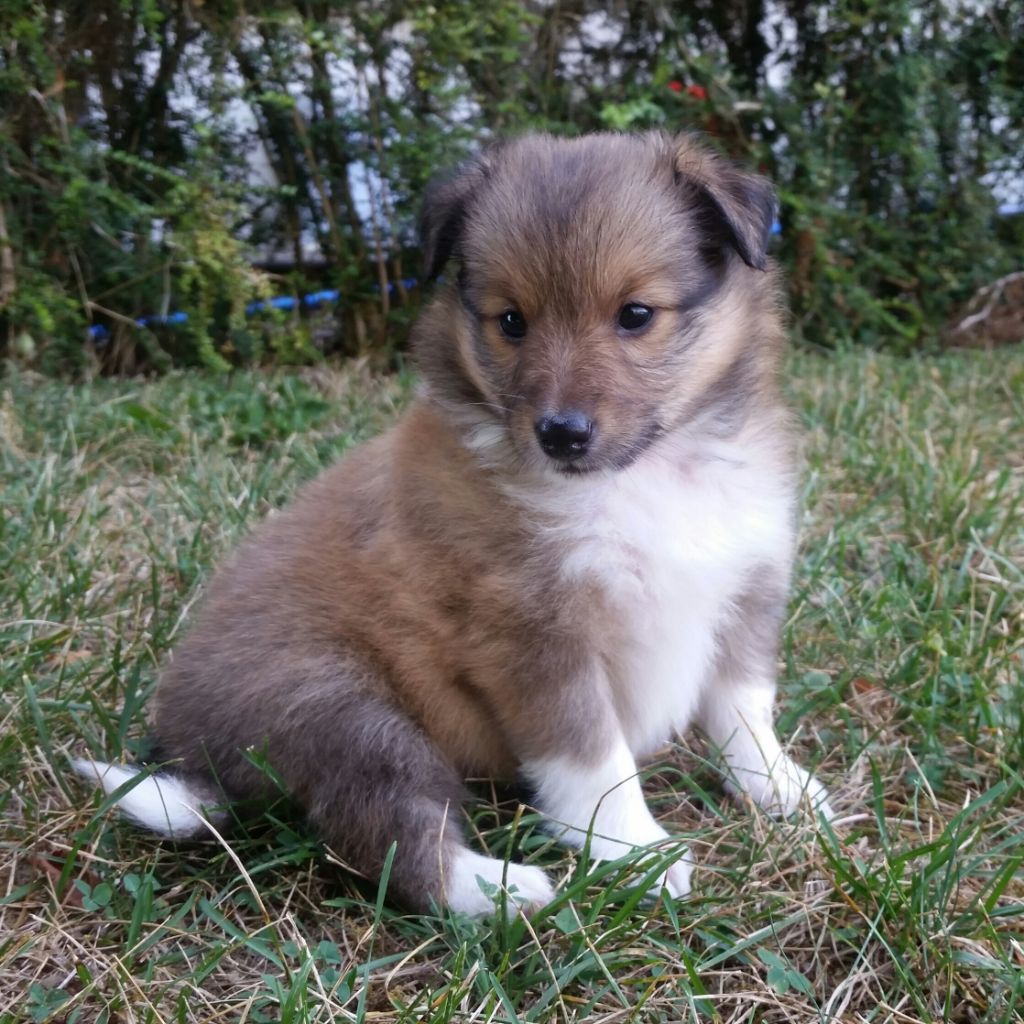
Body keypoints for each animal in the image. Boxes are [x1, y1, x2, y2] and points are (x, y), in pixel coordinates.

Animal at [77, 132, 831, 917]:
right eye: (511, 322)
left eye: (635, 314)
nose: (560, 434)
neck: (642, 477)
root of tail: (191, 748)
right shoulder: (533, 636)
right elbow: (595, 757)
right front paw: (636, 852)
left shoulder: (745, 581)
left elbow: (744, 707)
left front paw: (781, 788)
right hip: (340, 709)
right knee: (389, 835)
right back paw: (506, 889)